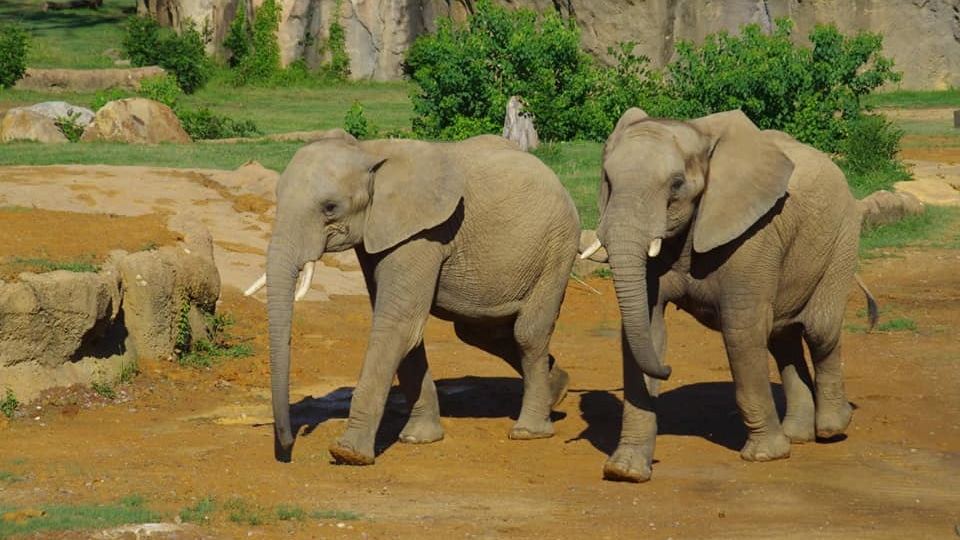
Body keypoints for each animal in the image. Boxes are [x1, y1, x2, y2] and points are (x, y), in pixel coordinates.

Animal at [262, 131, 576, 464]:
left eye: (330, 207)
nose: (287, 449)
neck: (368, 150)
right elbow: (406, 329)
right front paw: (418, 438)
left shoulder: (424, 232)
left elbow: (397, 324)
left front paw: (348, 453)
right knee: (480, 332)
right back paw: (558, 392)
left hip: (557, 246)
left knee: (527, 333)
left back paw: (529, 430)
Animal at [584, 107, 876, 484]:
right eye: (607, 179)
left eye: (676, 184)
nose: (668, 369)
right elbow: (645, 329)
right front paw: (625, 471)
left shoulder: (753, 236)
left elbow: (741, 330)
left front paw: (765, 455)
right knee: (783, 338)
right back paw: (797, 435)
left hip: (841, 237)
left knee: (819, 331)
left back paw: (831, 428)